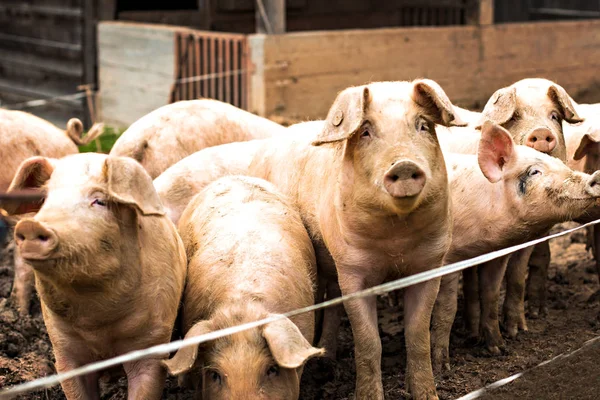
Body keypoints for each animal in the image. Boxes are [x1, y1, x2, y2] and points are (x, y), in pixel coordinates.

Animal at [5, 154, 186, 400]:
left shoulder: (152, 345)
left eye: (99, 201)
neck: (97, 324)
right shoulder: (63, 347)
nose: (31, 225)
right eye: (43, 199)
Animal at [428, 122, 600, 372]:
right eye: (534, 172)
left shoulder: (497, 255)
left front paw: (499, 349)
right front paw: (442, 367)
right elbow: (446, 307)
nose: (594, 177)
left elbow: (491, 296)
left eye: (561, 164)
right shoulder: (450, 259)